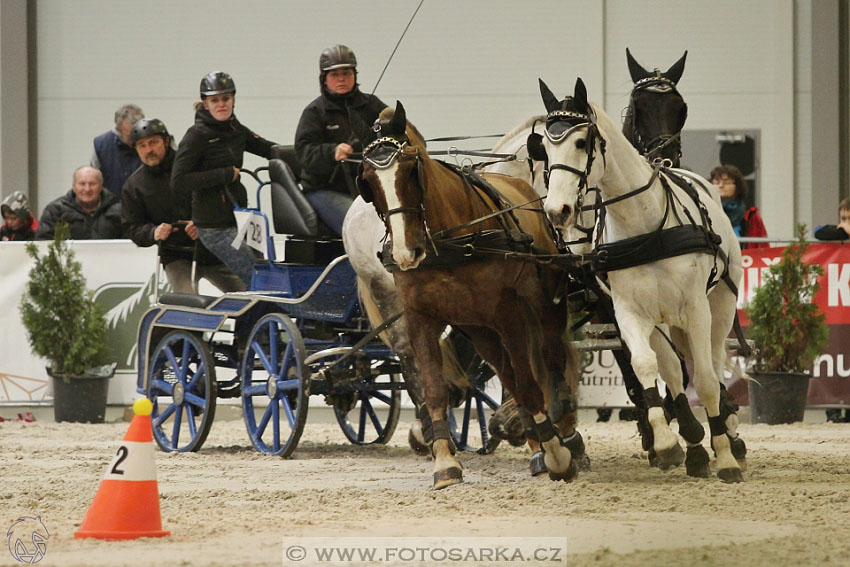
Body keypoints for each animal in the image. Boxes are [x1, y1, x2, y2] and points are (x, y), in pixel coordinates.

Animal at [354, 101, 580, 488]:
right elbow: (434, 390)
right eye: (368, 178)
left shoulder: (508, 313)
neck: (451, 239)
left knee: (548, 367)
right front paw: (445, 463)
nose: (404, 253)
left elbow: (530, 385)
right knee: (509, 376)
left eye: (411, 168)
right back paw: (536, 443)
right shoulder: (420, 318)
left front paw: (558, 455)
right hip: (479, 330)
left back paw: (563, 439)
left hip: (541, 309)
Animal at [536, 77, 744, 482]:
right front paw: (666, 445)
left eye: (581, 142)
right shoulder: (628, 311)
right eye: (545, 149)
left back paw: (725, 439)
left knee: (711, 366)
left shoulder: (696, 309)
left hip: (720, 309)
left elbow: (706, 381)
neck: (645, 228)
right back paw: (694, 450)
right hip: (662, 320)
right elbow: (645, 367)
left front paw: (726, 458)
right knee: (672, 370)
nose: (557, 211)